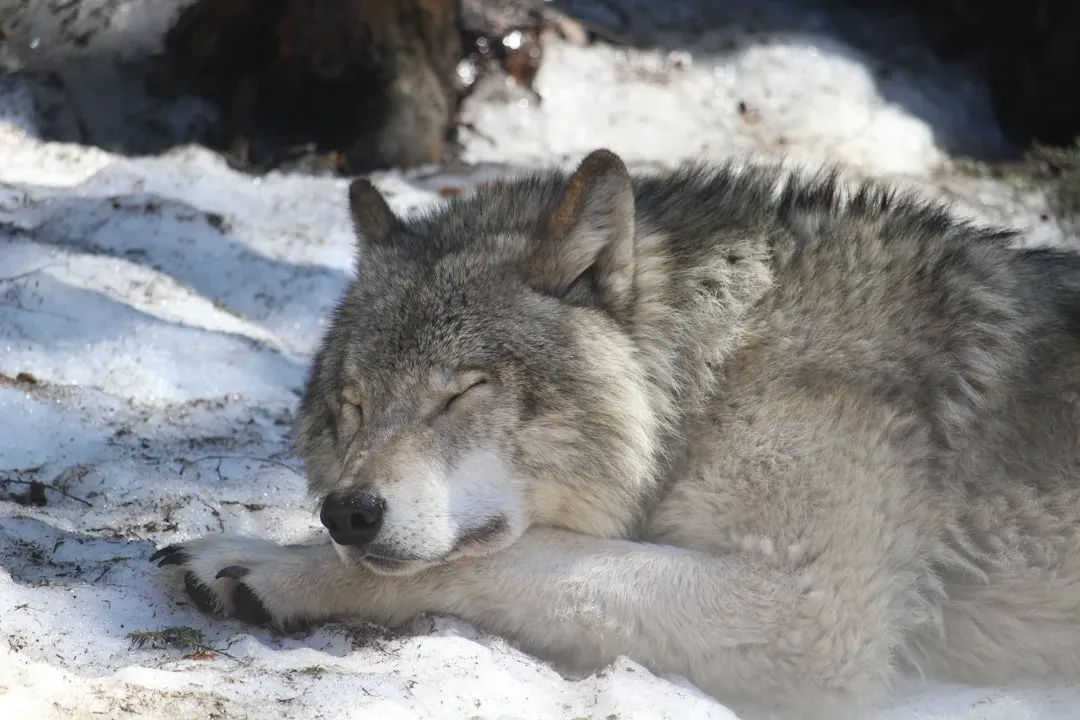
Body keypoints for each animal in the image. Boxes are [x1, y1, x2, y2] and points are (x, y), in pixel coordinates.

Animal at [152, 148, 1080, 719]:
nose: (347, 513)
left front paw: (270, 563)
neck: (718, 370)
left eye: (463, 392)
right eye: (351, 405)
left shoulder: (804, 612)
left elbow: (503, 561)